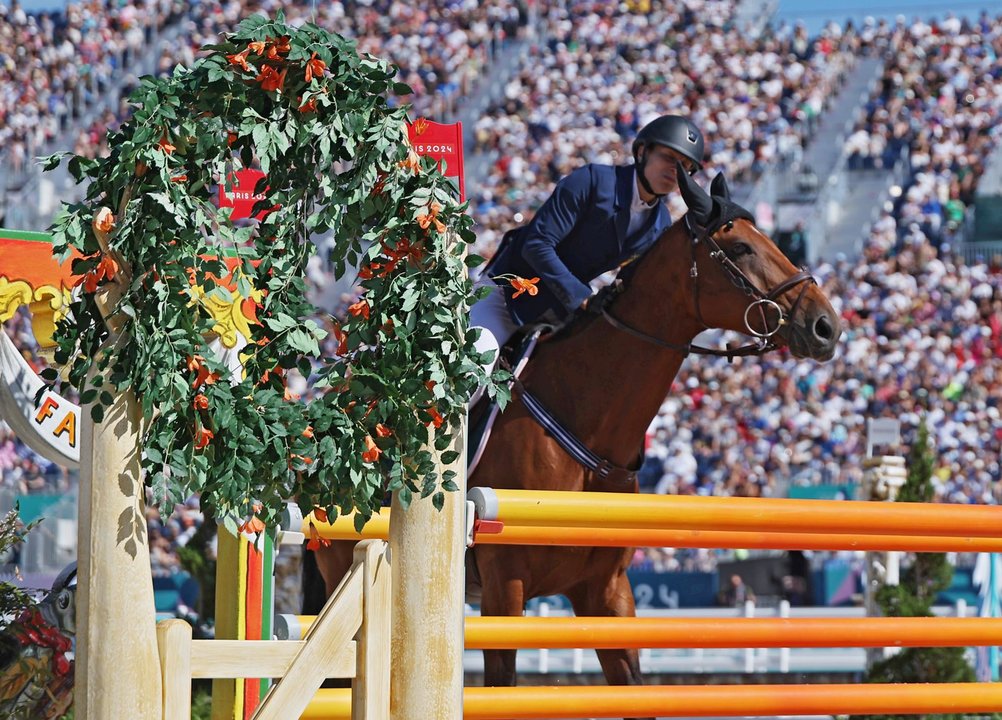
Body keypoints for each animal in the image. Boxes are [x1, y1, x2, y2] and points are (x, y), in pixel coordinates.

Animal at [308, 170, 841, 716]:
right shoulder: (506, 589)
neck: (588, 427)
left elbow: (633, 687)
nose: (827, 326)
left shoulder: (605, 593)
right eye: (739, 247)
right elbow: (503, 685)